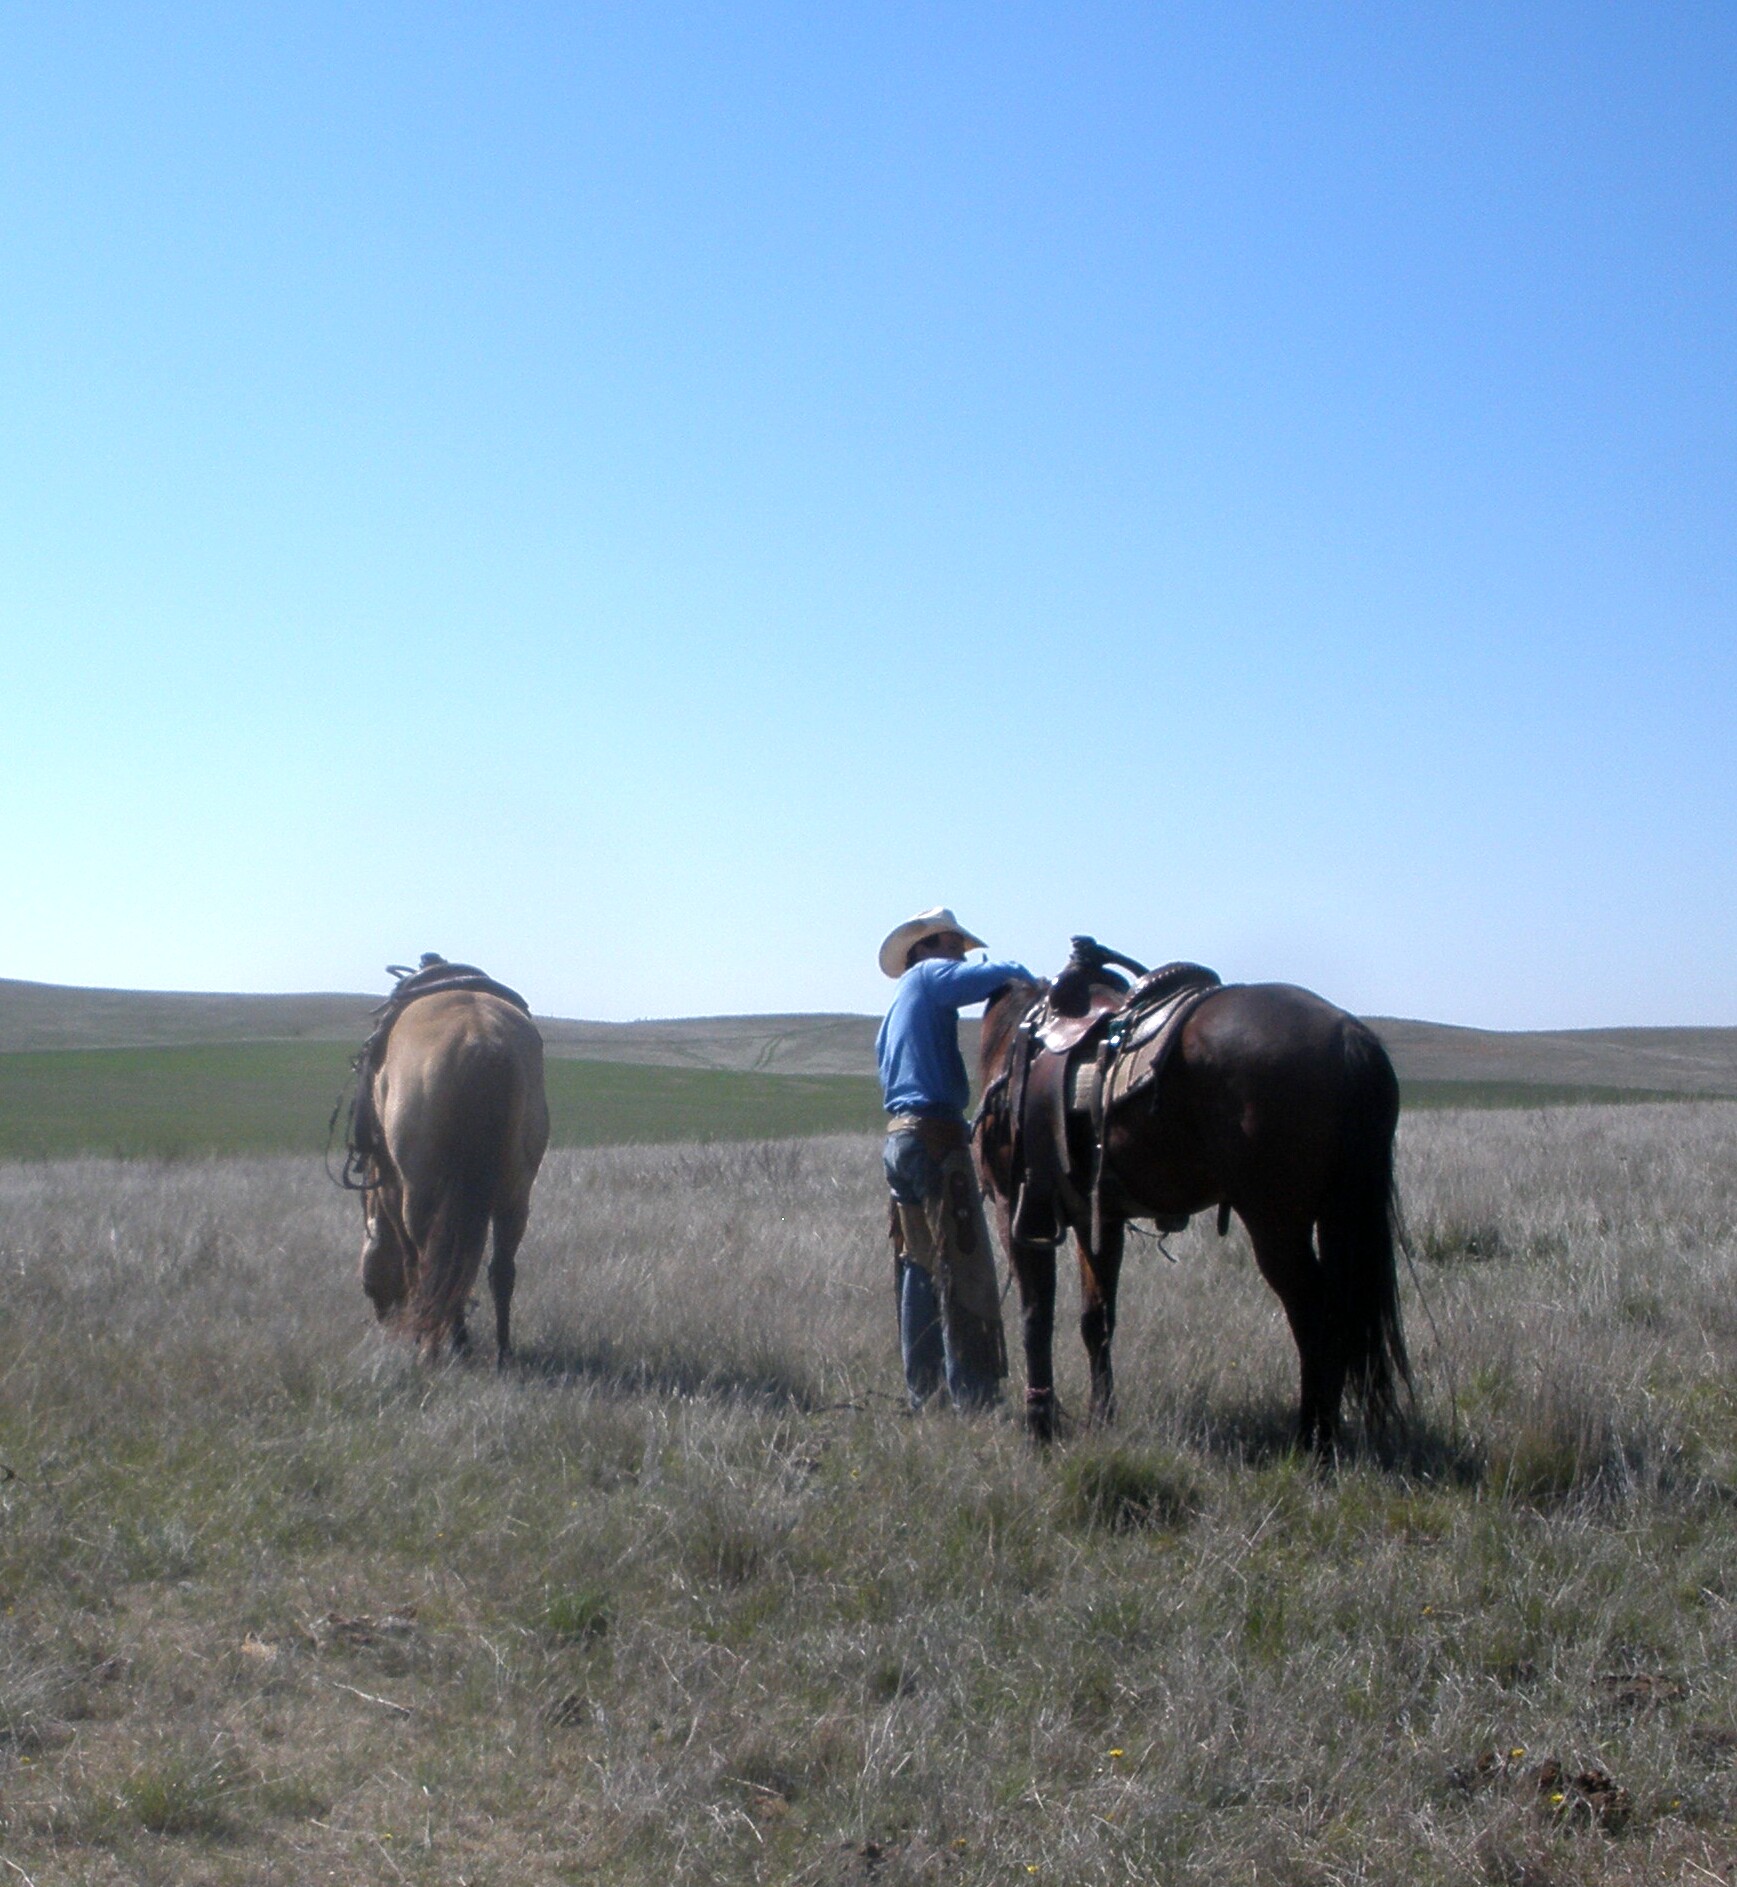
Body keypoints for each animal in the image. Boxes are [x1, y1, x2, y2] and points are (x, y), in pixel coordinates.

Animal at [356, 988, 550, 1365]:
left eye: (367, 1285)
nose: (382, 1325)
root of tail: (480, 1041)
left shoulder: (392, 1188)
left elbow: (410, 1261)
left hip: (423, 1196)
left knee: (436, 1266)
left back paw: (442, 1346)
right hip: (514, 1195)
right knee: (498, 1270)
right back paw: (502, 1352)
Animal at [975, 969, 1409, 1450]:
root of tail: (1347, 1034)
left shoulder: (1017, 1210)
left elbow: (1035, 1316)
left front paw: (1040, 1424)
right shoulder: (1098, 1218)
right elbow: (1096, 1319)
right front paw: (1101, 1416)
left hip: (1276, 1226)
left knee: (1316, 1314)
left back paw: (1314, 1439)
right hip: (1335, 1217)